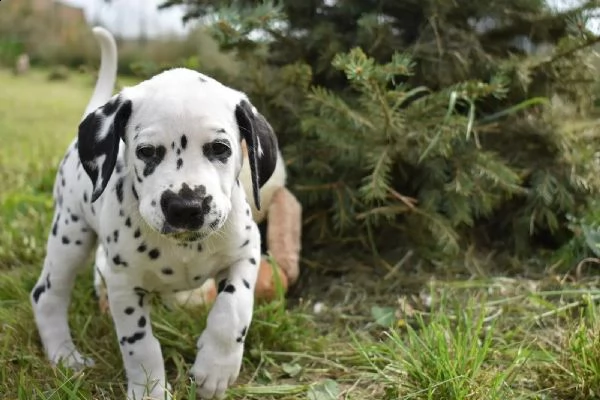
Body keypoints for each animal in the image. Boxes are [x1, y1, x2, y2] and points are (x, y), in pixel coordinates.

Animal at [29, 26, 278, 398]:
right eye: (147, 151)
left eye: (220, 148)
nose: (186, 207)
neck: (184, 248)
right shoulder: (125, 285)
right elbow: (141, 345)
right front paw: (149, 389)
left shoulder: (245, 252)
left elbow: (232, 309)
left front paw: (215, 369)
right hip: (70, 235)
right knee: (47, 295)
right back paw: (65, 355)